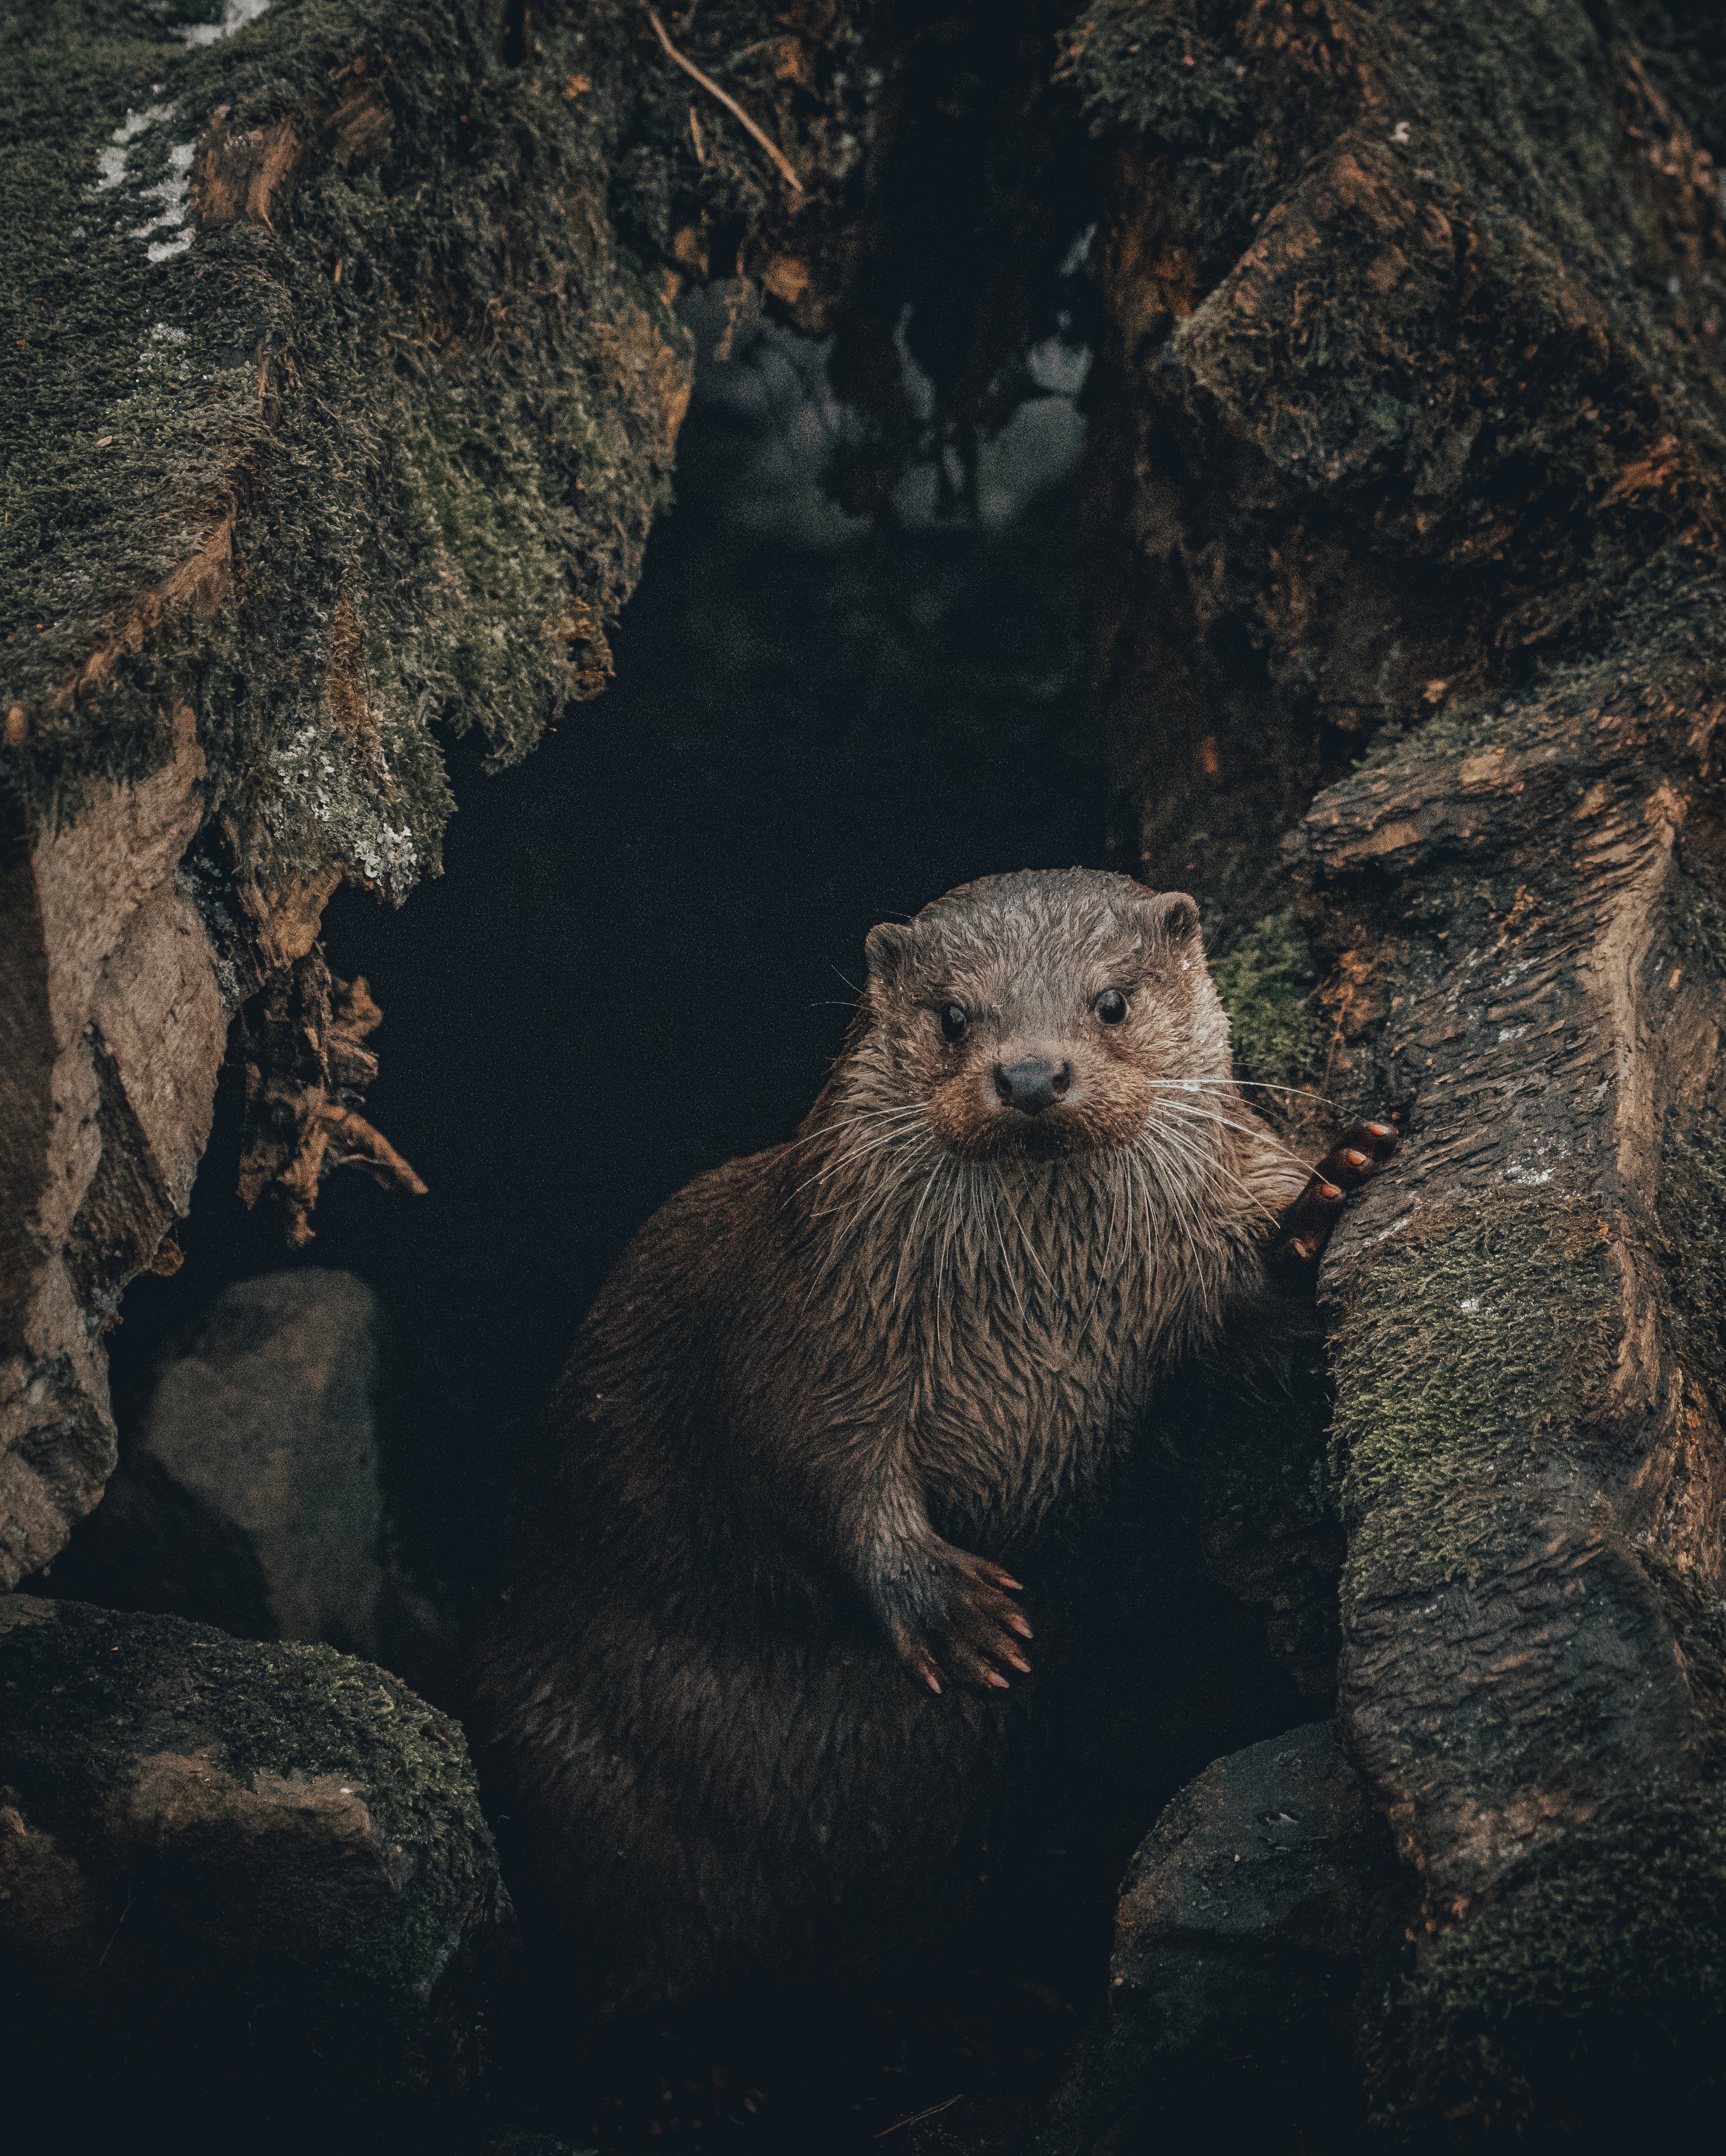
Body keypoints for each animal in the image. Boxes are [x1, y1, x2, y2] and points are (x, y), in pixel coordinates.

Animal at [471, 869, 1396, 2013]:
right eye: (954, 1015)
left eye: (1110, 1001)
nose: (1032, 1073)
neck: (1043, 1336)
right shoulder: (809, 1331)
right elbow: (810, 1469)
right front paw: (952, 1609)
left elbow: (1251, 1331)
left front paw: (1325, 1195)